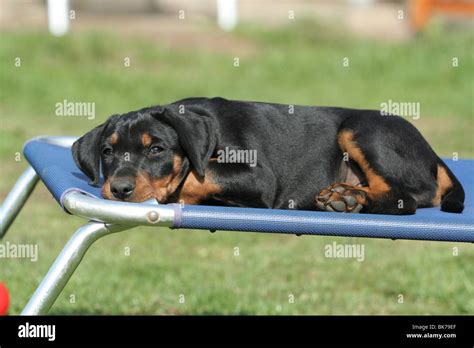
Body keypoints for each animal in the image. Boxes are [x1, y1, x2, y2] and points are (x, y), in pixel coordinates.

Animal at [72, 96, 464, 213]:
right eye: (107, 151)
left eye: (156, 149)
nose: (119, 189)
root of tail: (433, 155)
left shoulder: (258, 179)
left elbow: (196, 179)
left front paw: (172, 193)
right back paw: (345, 195)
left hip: (362, 129)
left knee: (407, 197)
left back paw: (349, 197)